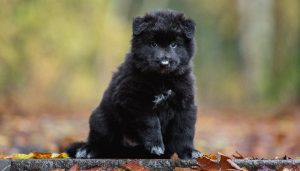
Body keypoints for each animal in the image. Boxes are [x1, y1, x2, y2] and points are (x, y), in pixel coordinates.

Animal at [67, 9, 200, 159]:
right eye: (153, 44)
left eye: (174, 44)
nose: (164, 63)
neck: (162, 79)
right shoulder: (135, 100)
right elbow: (151, 122)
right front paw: (156, 145)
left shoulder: (185, 104)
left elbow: (185, 130)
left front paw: (189, 151)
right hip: (100, 119)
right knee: (100, 141)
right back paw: (87, 150)